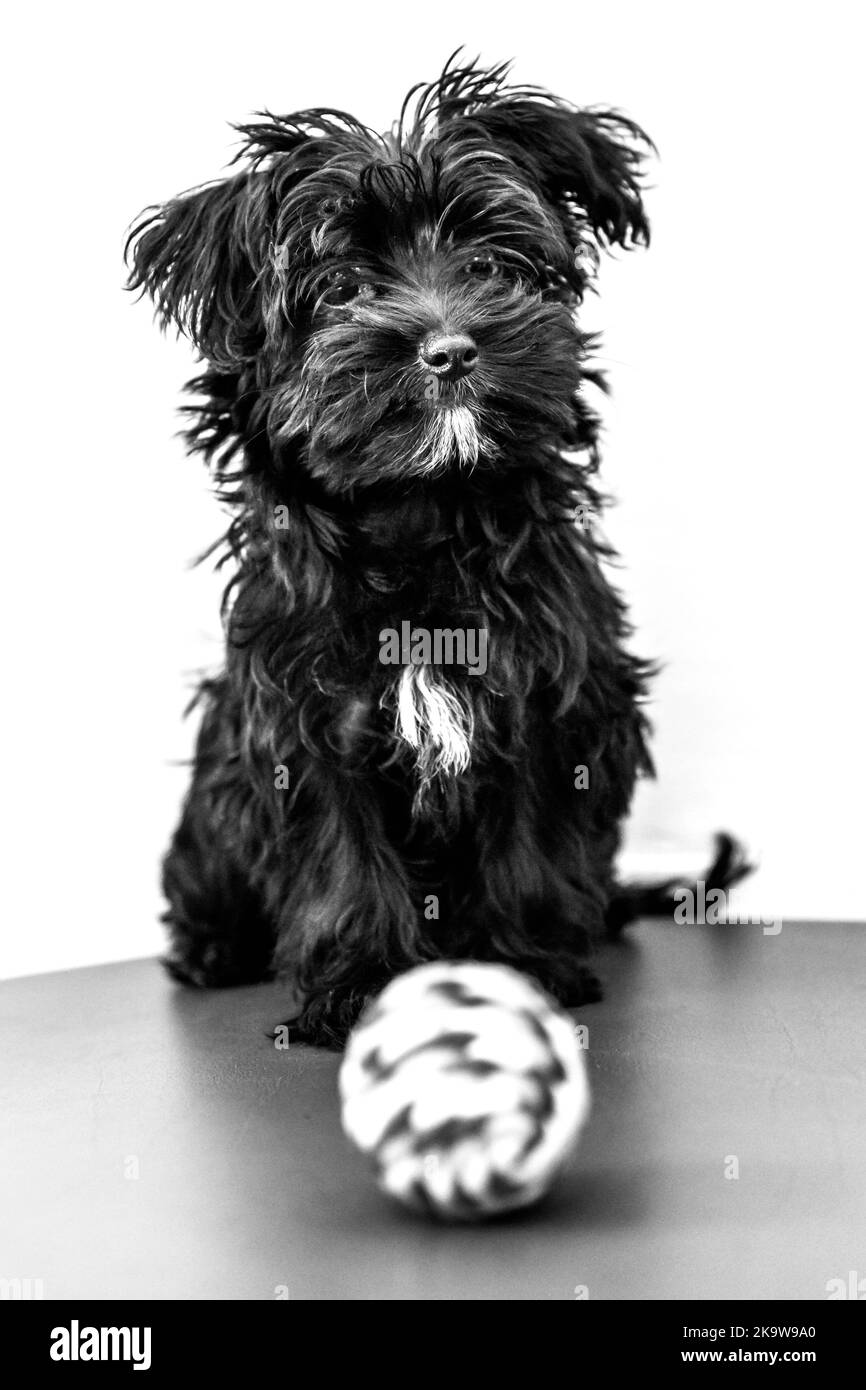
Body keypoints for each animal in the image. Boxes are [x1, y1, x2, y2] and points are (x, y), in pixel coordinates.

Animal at [125, 59, 750, 1045]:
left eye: (489, 264)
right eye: (341, 286)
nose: (450, 349)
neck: (423, 516)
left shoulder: (550, 692)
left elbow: (530, 842)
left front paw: (523, 968)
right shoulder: (308, 719)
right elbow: (341, 858)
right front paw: (359, 985)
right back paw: (215, 950)